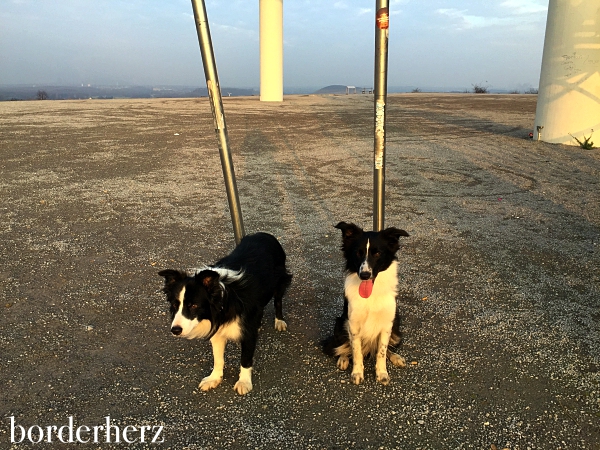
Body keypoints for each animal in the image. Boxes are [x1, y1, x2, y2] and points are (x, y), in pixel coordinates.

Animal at [158, 232, 292, 394]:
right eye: (174, 305)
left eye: (194, 305)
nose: (175, 330)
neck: (223, 302)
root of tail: (265, 234)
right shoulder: (217, 329)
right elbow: (218, 358)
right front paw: (214, 378)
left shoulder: (246, 330)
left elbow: (245, 358)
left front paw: (244, 382)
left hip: (280, 280)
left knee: (278, 300)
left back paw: (279, 321)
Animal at [324, 221, 412, 384]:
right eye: (358, 253)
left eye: (377, 253)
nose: (364, 275)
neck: (371, 294)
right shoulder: (353, 324)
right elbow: (356, 351)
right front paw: (357, 373)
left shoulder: (387, 324)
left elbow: (382, 351)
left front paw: (382, 373)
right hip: (340, 323)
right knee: (343, 347)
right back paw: (343, 359)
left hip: (396, 324)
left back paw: (396, 357)